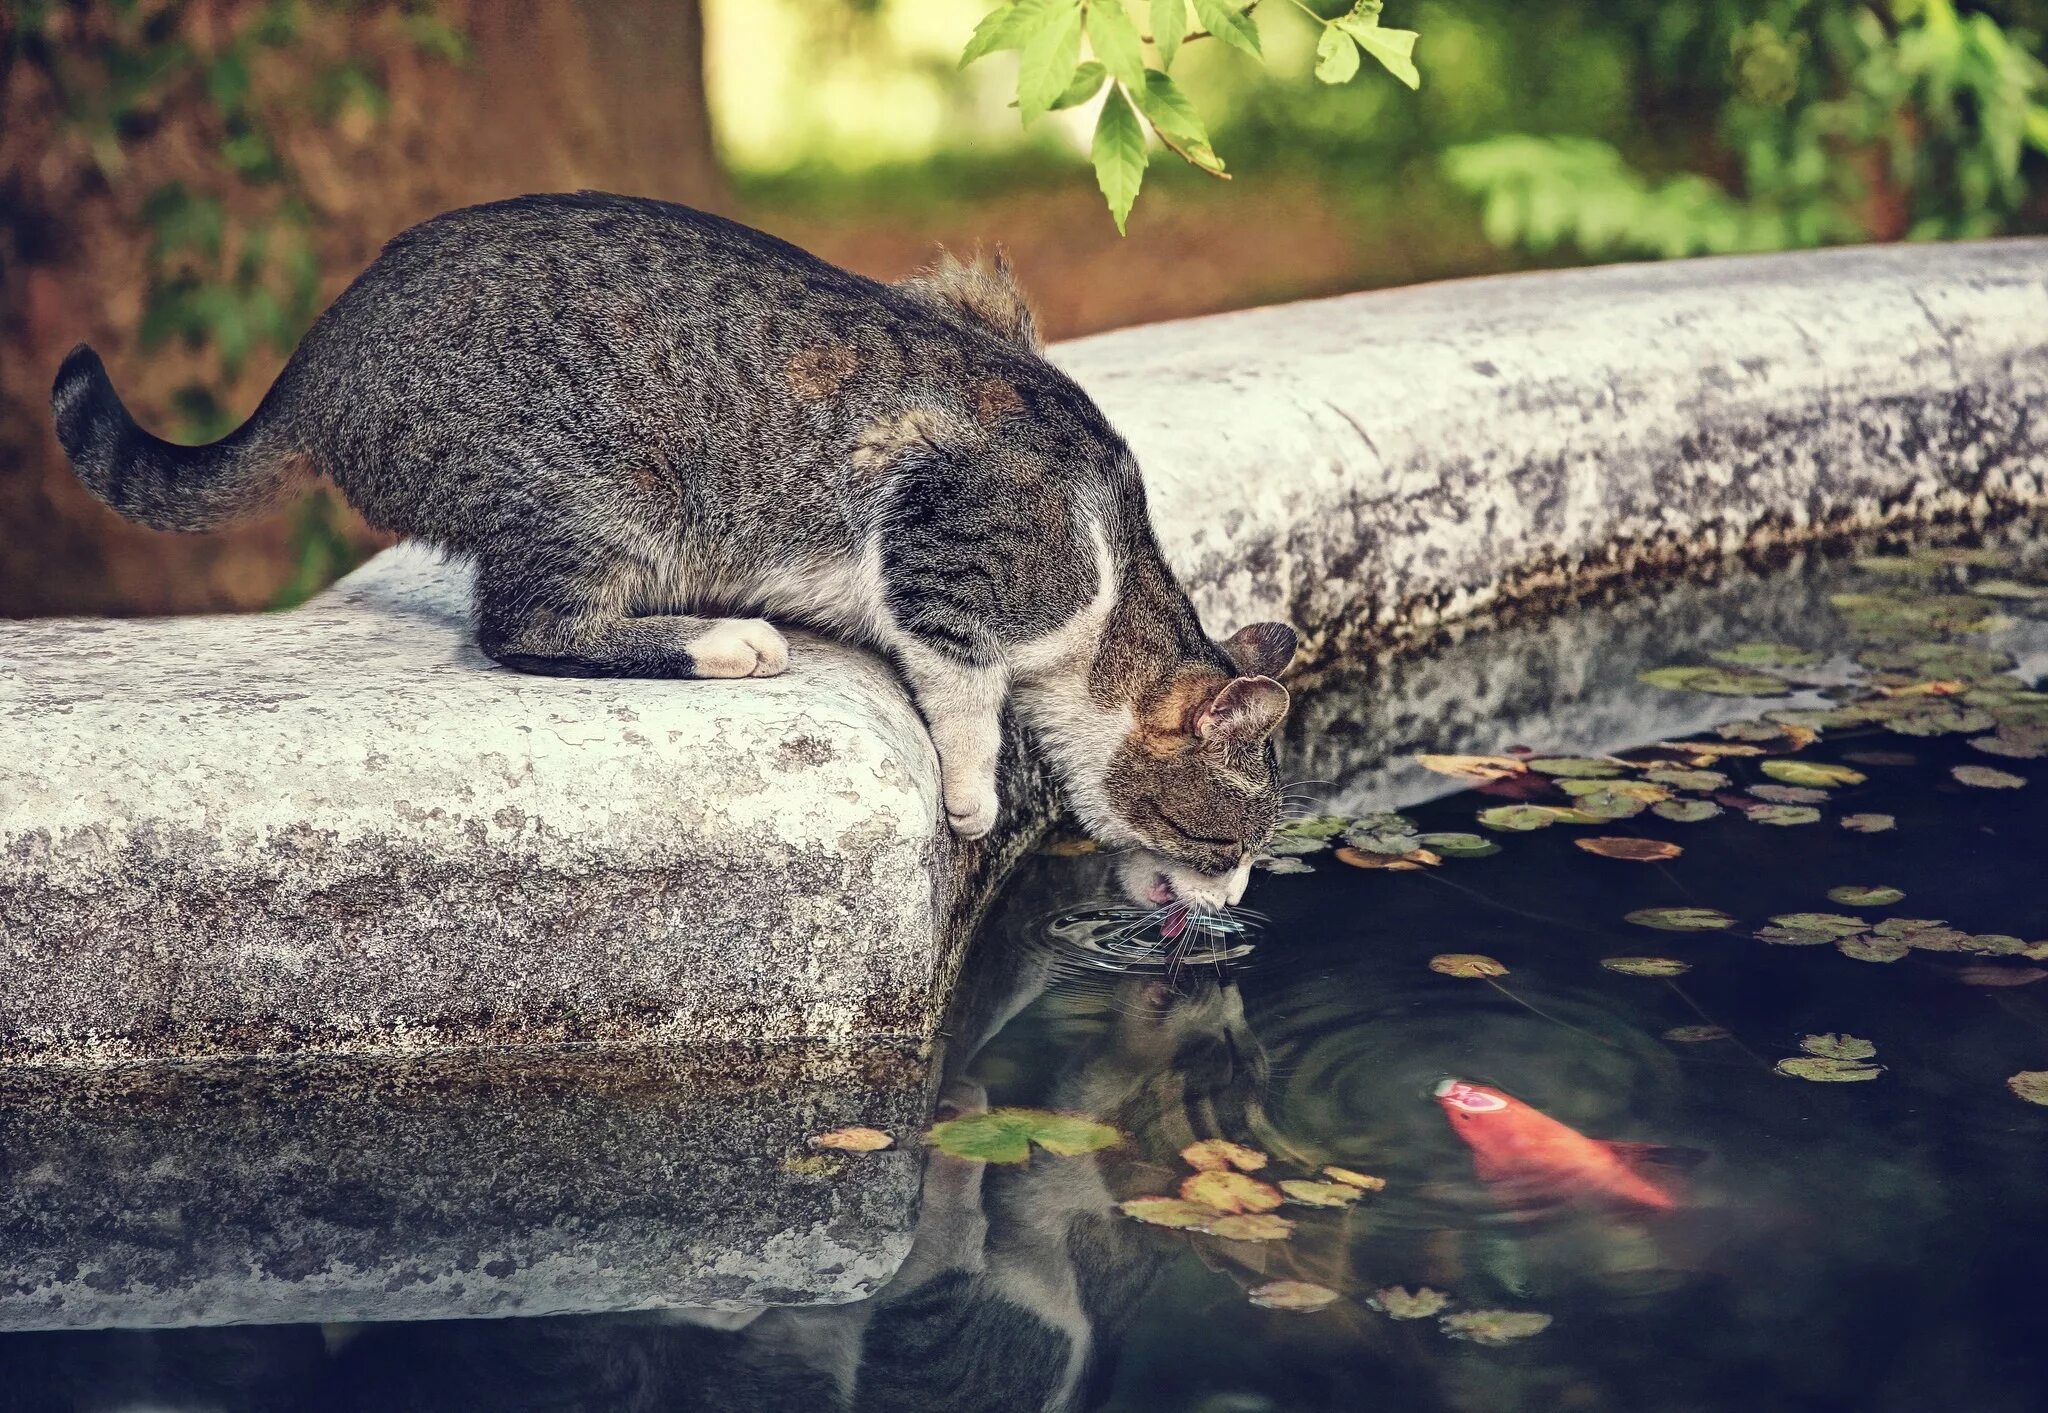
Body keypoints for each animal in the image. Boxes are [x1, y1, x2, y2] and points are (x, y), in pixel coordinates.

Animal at [51, 189, 1294, 901]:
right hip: (600, 491)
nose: (1235, 906)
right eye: (1223, 843)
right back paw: (723, 640)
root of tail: (317, 359)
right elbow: (962, 696)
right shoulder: (938, 540)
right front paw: (972, 797)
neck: (1109, 573)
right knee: (524, 629)